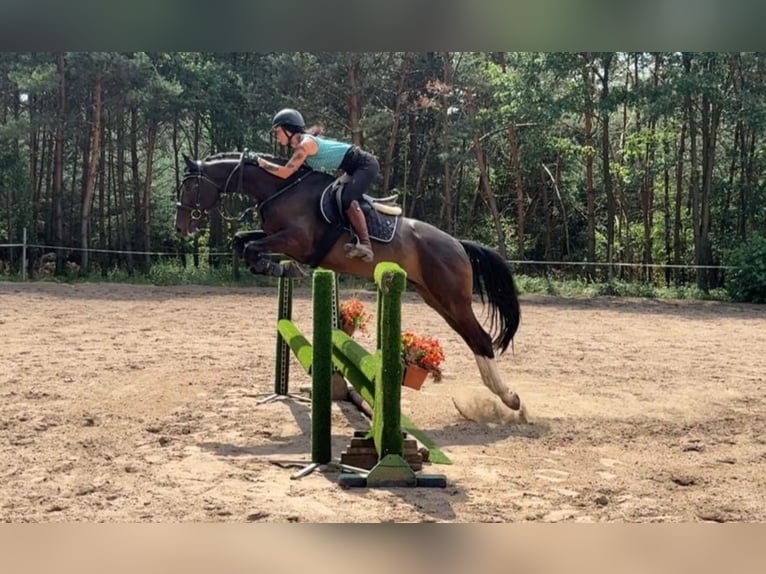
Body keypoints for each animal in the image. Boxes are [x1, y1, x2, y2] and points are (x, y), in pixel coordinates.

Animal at [175, 152, 528, 424]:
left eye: (190, 185)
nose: (181, 228)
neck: (281, 188)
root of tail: (457, 243)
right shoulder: (277, 237)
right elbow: (241, 242)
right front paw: (271, 266)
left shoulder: (296, 241)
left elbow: (251, 247)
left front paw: (276, 267)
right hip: (436, 299)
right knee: (473, 339)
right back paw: (503, 398)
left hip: (452, 298)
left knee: (481, 339)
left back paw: (511, 400)